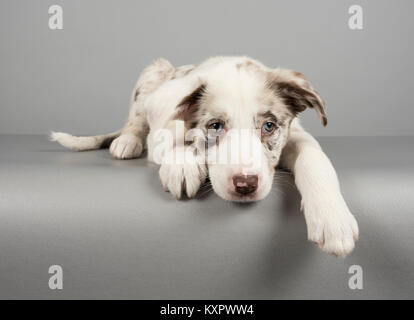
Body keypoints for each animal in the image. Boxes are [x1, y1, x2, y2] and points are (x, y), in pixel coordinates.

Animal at [51, 56, 358, 256]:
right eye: (215, 126)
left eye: (269, 126)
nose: (245, 185)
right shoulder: (163, 132)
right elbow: (183, 143)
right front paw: (183, 165)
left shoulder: (297, 136)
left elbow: (315, 159)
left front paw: (333, 219)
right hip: (153, 72)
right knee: (135, 120)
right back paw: (127, 141)